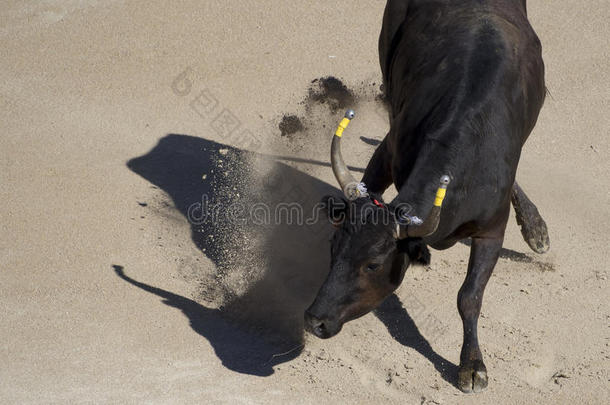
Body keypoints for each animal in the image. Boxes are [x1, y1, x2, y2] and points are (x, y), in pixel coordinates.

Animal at [302, 0, 548, 392]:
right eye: (333, 246)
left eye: (373, 264)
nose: (315, 321)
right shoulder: (389, 152)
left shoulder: (492, 230)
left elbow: (470, 296)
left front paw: (472, 365)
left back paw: (536, 229)